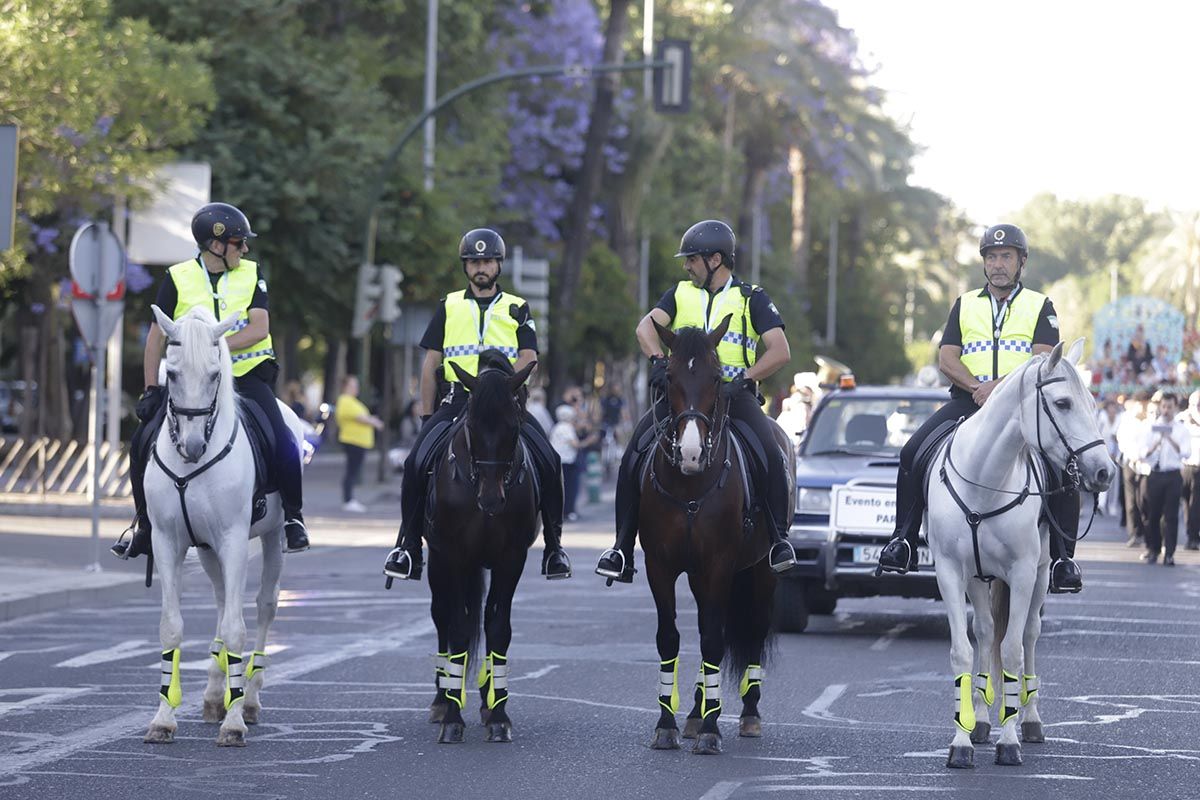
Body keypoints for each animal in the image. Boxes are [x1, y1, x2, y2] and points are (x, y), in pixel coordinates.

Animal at [144, 304, 304, 743]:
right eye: (172, 374)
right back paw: (216, 694)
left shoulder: (233, 540)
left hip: (271, 541)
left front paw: (234, 723)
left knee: (264, 606)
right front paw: (163, 718)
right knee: (219, 601)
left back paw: (248, 700)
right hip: (207, 549)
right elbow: (171, 627)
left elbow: (237, 628)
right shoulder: (168, 542)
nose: (193, 446)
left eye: (215, 375)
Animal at [422, 352, 535, 748]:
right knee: (442, 616)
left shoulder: (511, 559)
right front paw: (452, 718)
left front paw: (498, 715)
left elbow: (498, 627)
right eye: (471, 424)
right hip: (438, 563)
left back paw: (486, 702)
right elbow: (457, 626)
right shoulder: (452, 555)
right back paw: (443, 699)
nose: (491, 499)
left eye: (514, 428)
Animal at [643, 316, 792, 753]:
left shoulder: (720, 564)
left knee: (751, 628)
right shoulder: (659, 566)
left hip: (760, 571)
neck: (690, 485)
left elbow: (713, 640)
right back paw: (695, 712)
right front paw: (668, 724)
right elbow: (670, 638)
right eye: (668, 377)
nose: (691, 453)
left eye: (715, 377)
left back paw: (747, 714)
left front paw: (711, 729)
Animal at [926, 340, 1113, 767]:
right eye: (1062, 403)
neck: (987, 482)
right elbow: (963, 651)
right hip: (979, 580)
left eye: (1093, 403)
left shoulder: (1024, 572)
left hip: (1042, 575)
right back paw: (979, 720)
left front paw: (1009, 741)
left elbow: (1012, 651)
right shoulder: (951, 572)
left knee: (1028, 635)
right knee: (984, 632)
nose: (1105, 472)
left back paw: (1029, 721)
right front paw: (960, 742)